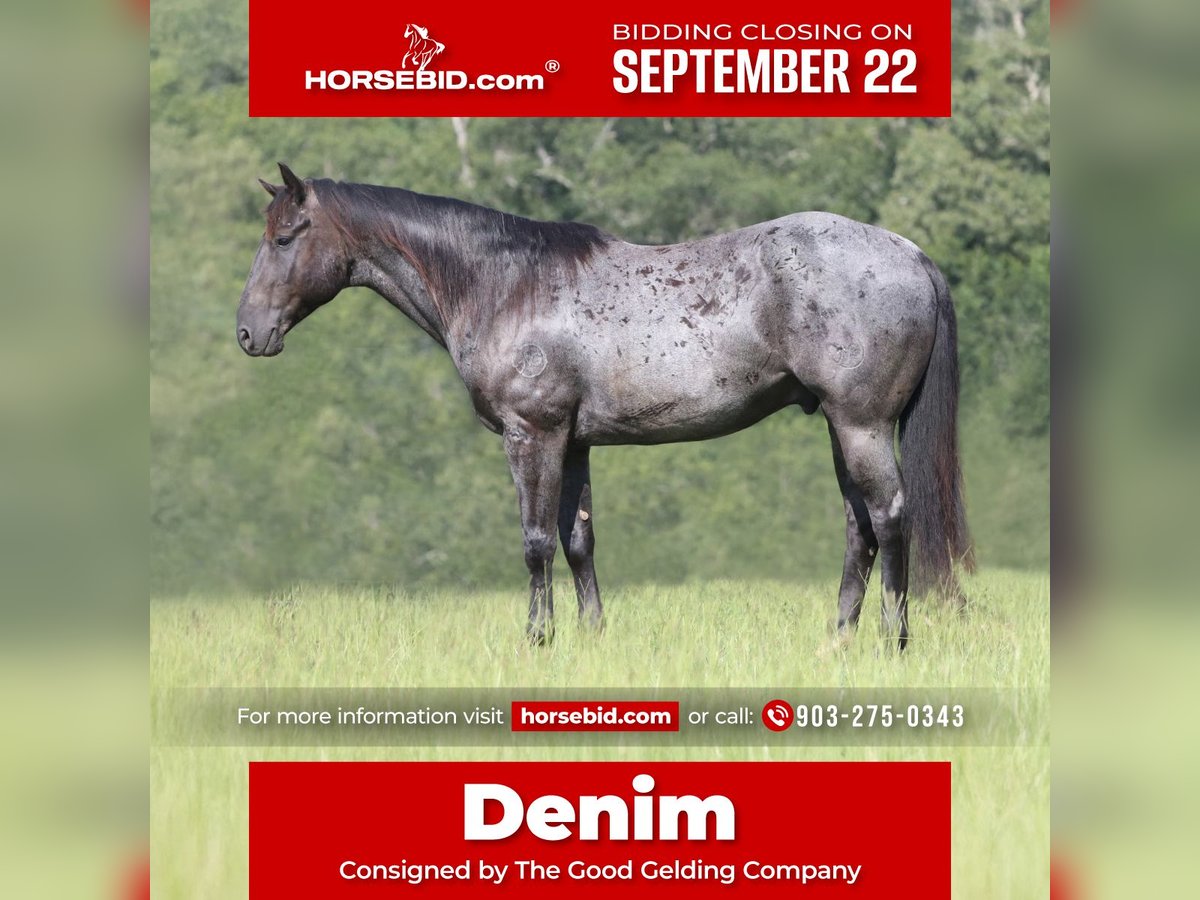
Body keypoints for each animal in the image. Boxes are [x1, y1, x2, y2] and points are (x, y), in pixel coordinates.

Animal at [237, 163, 974, 650]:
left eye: (285, 237)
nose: (248, 332)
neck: (506, 284)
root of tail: (912, 255)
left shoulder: (531, 435)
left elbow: (535, 541)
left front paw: (538, 640)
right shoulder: (574, 442)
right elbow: (578, 540)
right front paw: (592, 635)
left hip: (861, 425)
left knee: (889, 518)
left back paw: (892, 640)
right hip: (840, 427)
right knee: (860, 529)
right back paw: (838, 638)